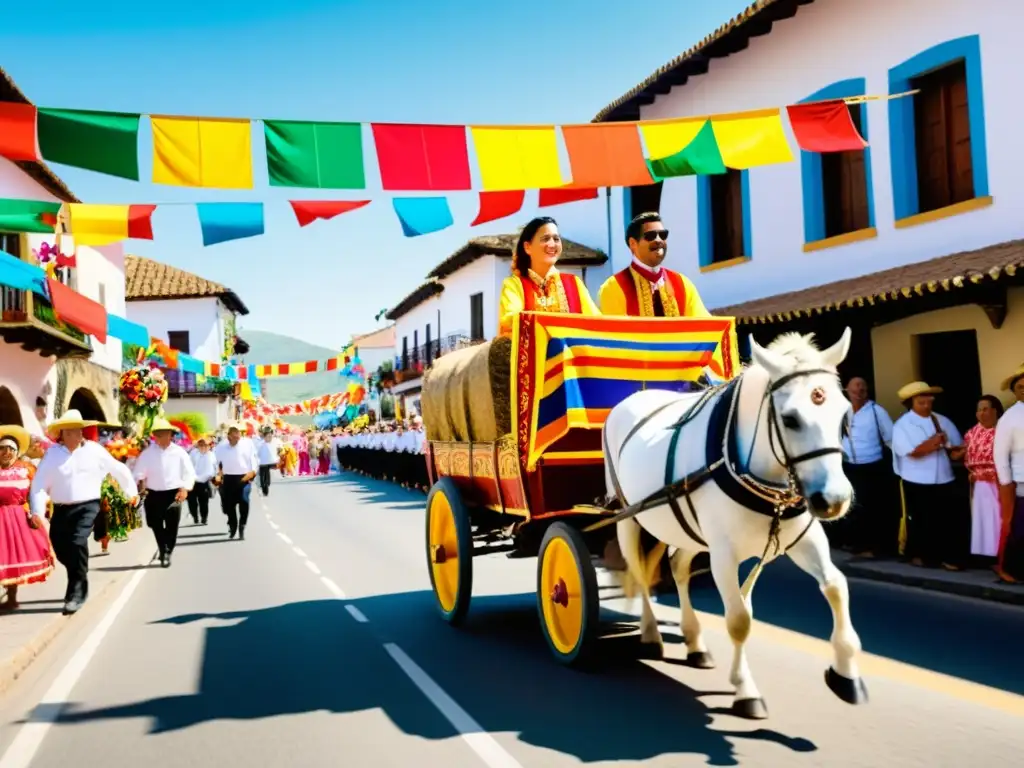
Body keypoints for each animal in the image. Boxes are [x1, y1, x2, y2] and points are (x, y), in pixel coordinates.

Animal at [602, 325, 868, 720]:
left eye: (844, 414)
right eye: (790, 419)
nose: (834, 500)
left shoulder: (803, 538)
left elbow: (835, 586)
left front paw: (846, 673)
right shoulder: (723, 553)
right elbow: (739, 619)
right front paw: (746, 690)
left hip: (684, 527)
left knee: (677, 566)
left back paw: (694, 640)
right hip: (629, 517)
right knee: (638, 572)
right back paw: (650, 633)